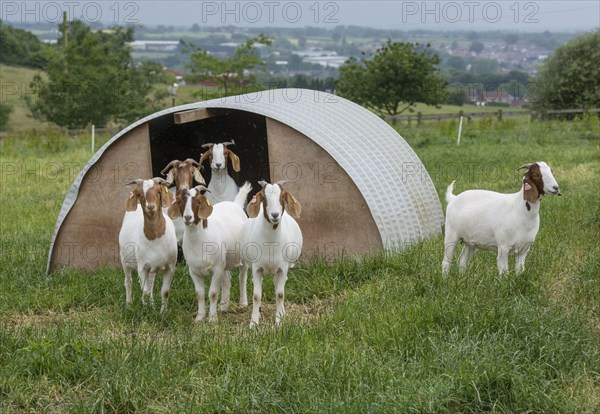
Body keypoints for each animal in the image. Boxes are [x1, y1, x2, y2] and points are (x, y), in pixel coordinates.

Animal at [118, 178, 177, 310]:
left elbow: (164, 292)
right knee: (128, 282)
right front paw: (147, 310)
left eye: (158, 192)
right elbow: (144, 291)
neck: (155, 239)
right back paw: (129, 305)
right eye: (139, 194)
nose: (150, 207)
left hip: (152, 268)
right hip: (124, 259)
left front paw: (162, 311)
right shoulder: (142, 267)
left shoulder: (170, 267)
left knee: (150, 285)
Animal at [168, 183, 252, 322]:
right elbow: (200, 294)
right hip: (224, 262)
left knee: (242, 277)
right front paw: (200, 317)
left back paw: (243, 303)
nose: (188, 217)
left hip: (242, 257)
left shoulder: (217, 269)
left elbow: (212, 293)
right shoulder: (194, 271)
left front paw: (212, 318)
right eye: (180, 201)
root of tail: (235, 204)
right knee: (227, 281)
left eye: (198, 201)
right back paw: (223, 306)